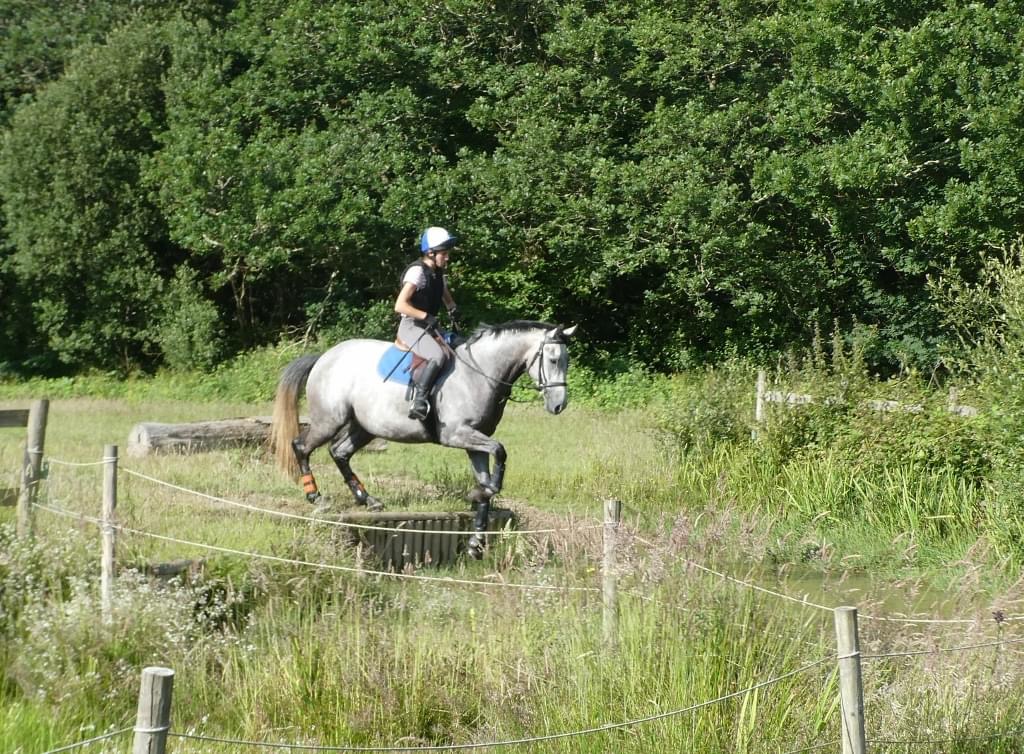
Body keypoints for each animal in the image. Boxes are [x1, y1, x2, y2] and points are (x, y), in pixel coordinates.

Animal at [270, 321, 577, 557]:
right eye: (552, 360)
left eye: (566, 360)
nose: (559, 405)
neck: (480, 374)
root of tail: (325, 357)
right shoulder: (457, 434)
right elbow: (500, 452)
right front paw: (482, 494)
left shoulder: (475, 442)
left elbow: (487, 478)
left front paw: (476, 539)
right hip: (329, 420)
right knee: (301, 446)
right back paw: (315, 496)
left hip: (364, 426)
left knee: (340, 452)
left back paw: (367, 500)